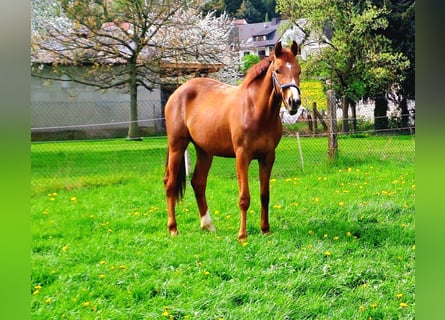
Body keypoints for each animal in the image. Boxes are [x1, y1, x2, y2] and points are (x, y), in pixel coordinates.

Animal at [163, 40, 302, 240]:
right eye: (278, 70)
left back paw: (208, 225)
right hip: (177, 146)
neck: (256, 110)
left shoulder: (267, 157)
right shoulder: (242, 156)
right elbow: (244, 198)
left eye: (299, 71)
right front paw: (242, 235)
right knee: (171, 184)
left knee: (198, 183)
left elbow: (264, 195)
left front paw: (265, 229)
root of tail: (177, 93)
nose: (294, 102)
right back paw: (173, 228)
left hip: (204, 151)